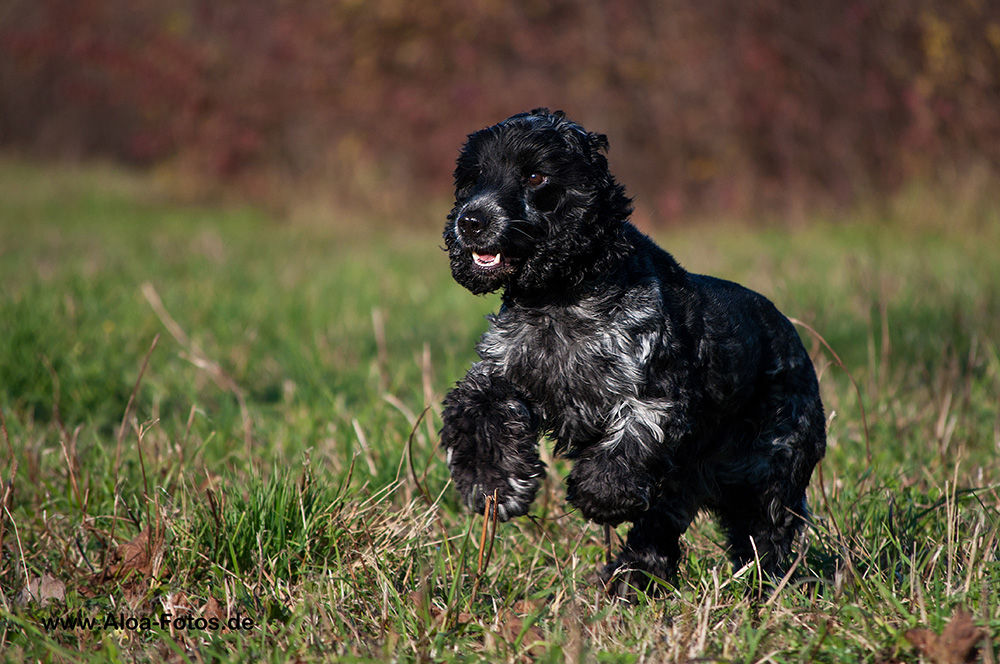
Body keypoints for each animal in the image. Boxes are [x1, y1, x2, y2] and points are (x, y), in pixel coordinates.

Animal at [442, 109, 824, 596]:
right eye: (473, 177)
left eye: (535, 175)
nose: (470, 221)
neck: (557, 299)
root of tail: (792, 338)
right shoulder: (502, 375)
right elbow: (476, 412)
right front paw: (492, 484)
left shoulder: (654, 393)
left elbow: (631, 442)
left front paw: (600, 497)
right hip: (687, 487)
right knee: (658, 536)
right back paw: (629, 583)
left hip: (770, 476)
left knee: (766, 536)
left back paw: (760, 588)